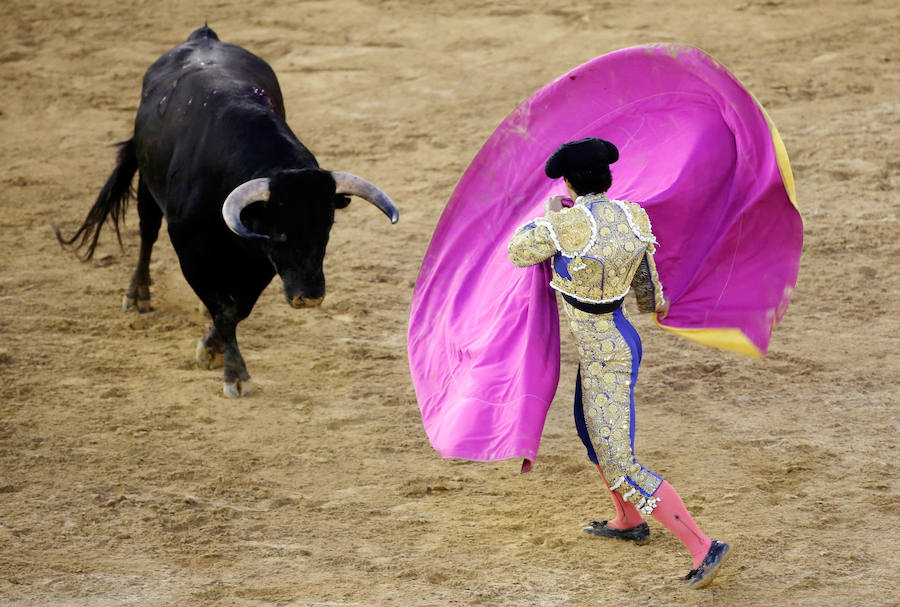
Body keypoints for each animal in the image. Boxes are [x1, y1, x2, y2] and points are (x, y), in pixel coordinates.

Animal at [53, 26, 398, 400]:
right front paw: (234, 372)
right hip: (147, 184)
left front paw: (213, 347)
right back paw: (137, 294)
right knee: (147, 232)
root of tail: (204, 36)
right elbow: (224, 308)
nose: (308, 297)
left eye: (327, 231)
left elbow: (237, 308)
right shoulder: (191, 252)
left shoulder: (261, 260)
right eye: (279, 233)